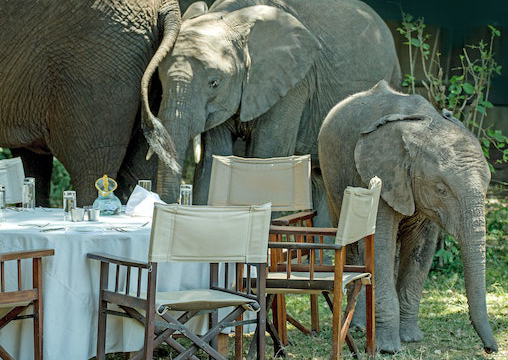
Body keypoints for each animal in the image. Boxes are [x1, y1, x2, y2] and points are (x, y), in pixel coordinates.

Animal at [140, 0, 400, 225]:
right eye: (160, 81)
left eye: (214, 83)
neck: (234, 19)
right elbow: (215, 158)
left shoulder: (295, 83)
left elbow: (267, 156)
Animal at [320, 80, 498, 352]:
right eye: (442, 189)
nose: (491, 349)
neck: (425, 125)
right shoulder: (382, 175)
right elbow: (380, 245)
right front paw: (388, 348)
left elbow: (421, 249)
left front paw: (411, 338)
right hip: (330, 174)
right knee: (353, 245)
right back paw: (358, 326)